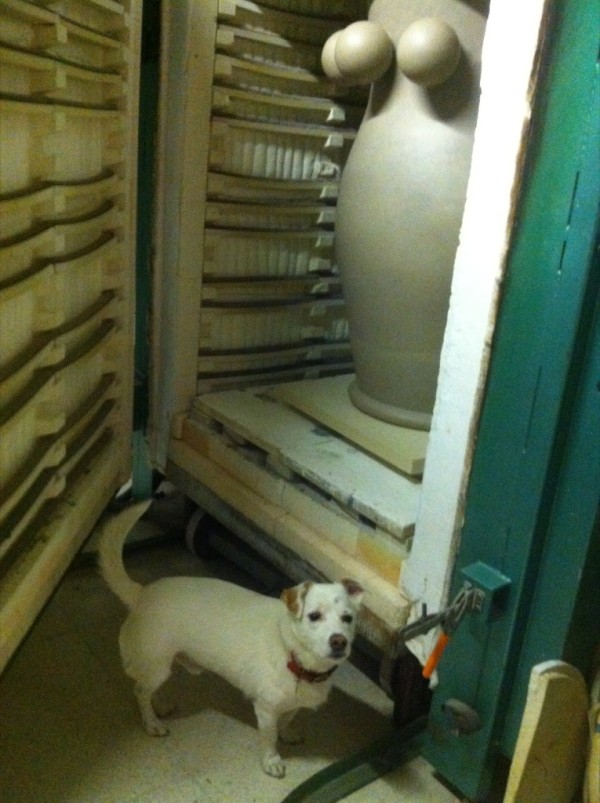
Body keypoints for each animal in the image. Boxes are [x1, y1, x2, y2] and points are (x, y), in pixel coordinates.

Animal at [98, 503, 364, 777]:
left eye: (348, 618)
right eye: (314, 616)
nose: (339, 641)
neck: (294, 656)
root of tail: (141, 593)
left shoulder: (293, 704)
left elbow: (288, 718)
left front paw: (287, 733)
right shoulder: (266, 710)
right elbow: (268, 738)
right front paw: (271, 761)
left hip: (157, 668)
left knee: (147, 689)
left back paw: (159, 706)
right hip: (157, 665)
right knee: (140, 691)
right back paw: (151, 722)